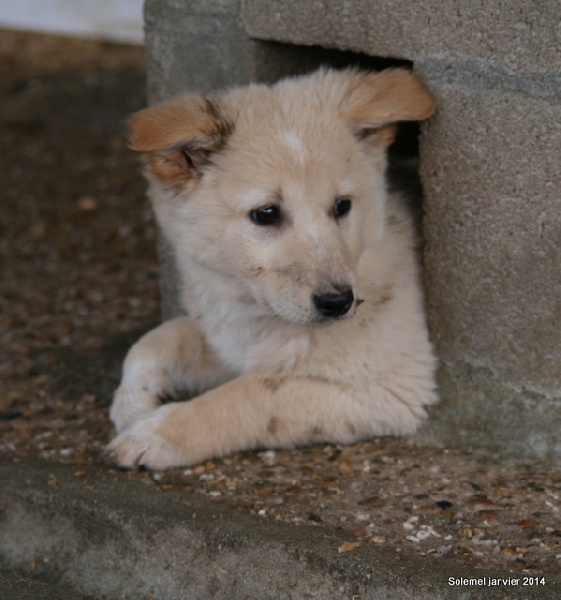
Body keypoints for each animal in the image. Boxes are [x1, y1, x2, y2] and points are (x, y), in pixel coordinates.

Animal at [106, 67, 438, 468]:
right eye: (266, 213)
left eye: (342, 205)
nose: (338, 303)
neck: (255, 311)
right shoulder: (227, 341)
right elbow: (158, 338)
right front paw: (131, 401)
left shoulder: (392, 386)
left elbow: (255, 392)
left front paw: (159, 433)